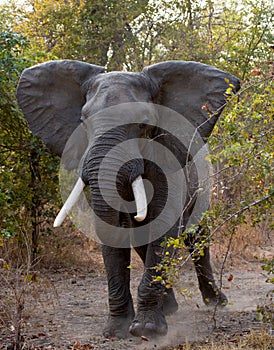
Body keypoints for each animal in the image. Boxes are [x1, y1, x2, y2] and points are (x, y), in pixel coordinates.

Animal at [16, 60, 240, 340]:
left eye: (143, 123)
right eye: (83, 121)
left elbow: (162, 227)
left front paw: (147, 330)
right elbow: (118, 233)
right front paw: (117, 330)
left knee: (196, 237)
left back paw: (216, 302)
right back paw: (170, 309)